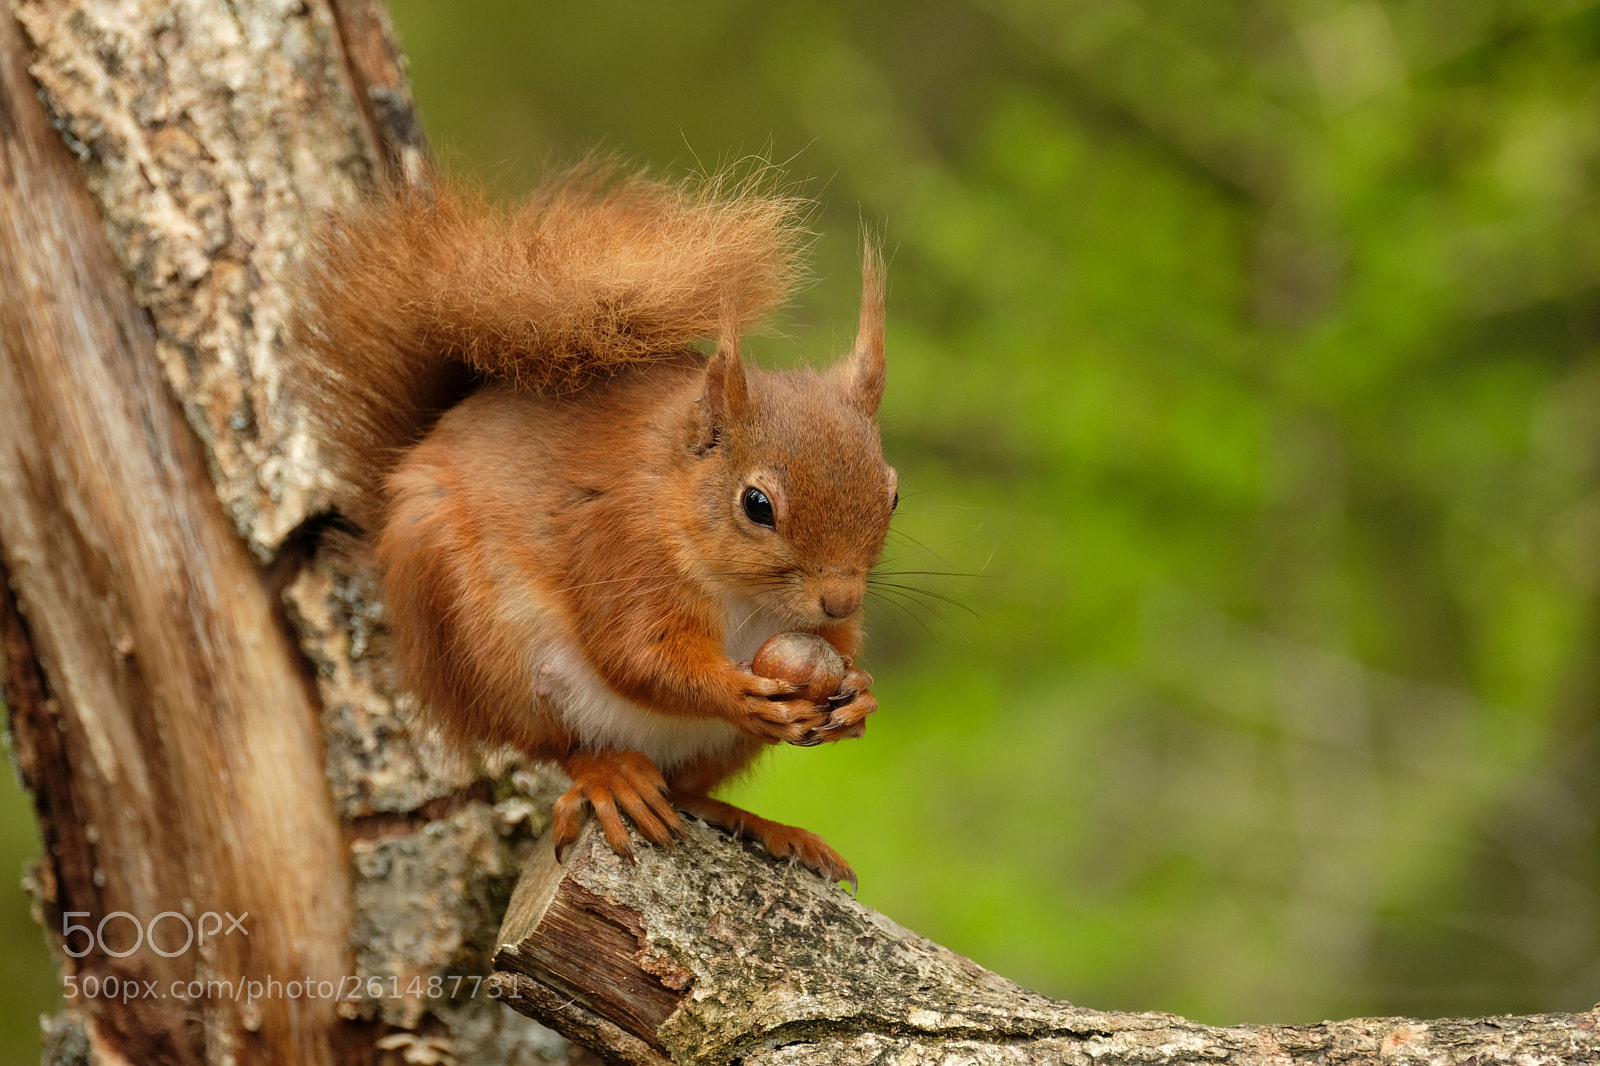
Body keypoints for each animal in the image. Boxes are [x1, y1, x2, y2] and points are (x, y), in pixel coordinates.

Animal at [292, 165, 895, 886]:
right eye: (757, 504)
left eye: (893, 494)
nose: (841, 599)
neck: (743, 594)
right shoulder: (620, 547)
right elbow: (638, 655)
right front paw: (737, 688)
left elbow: (839, 653)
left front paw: (859, 695)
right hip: (484, 644)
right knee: (557, 745)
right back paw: (611, 776)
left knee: (687, 786)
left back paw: (766, 827)